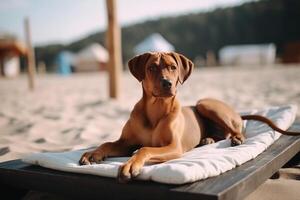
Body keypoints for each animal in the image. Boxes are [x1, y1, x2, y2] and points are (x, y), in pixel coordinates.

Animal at [79, 51, 300, 183]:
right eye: (151, 68)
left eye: (173, 67)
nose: (167, 83)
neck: (155, 110)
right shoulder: (126, 142)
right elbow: (107, 143)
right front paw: (93, 153)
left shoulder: (173, 147)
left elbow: (144, 149)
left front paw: (130, 164)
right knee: (222, 134)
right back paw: (207, 139)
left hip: (205, 103)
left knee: (235, 130)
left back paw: (236, 138)